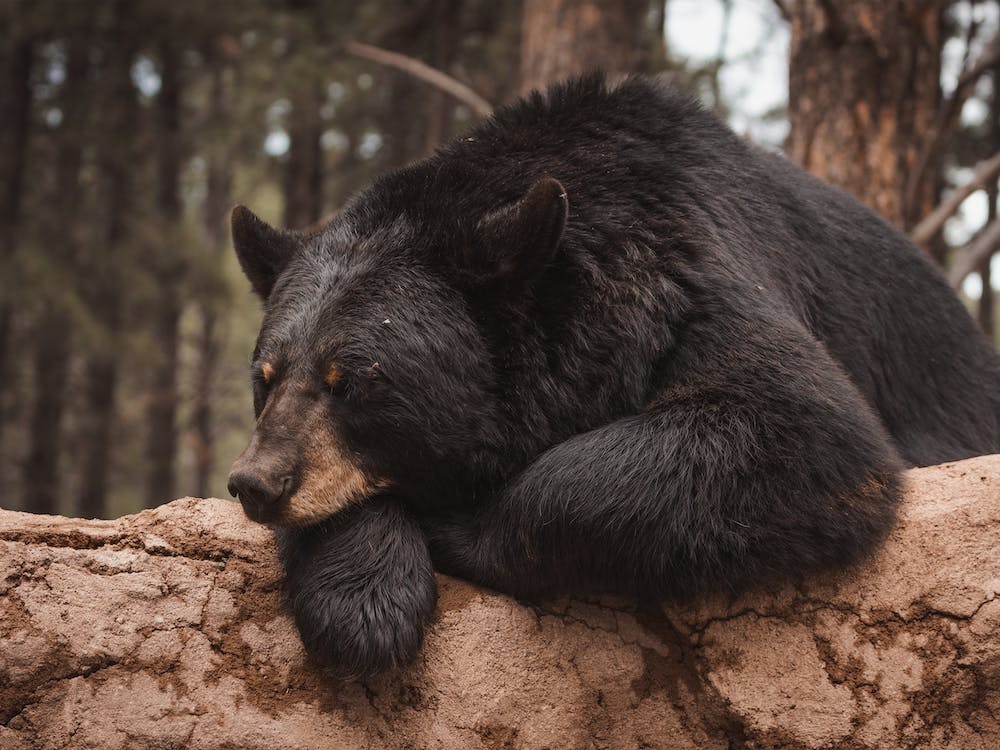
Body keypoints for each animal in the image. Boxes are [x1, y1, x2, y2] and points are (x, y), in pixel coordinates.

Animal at [227, 74, 1000, 679]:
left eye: (353, 379)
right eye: (266, 376)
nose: (254, 483)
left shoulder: (688, 272)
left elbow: (804, 425)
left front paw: (456, 524)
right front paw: (363, 601)